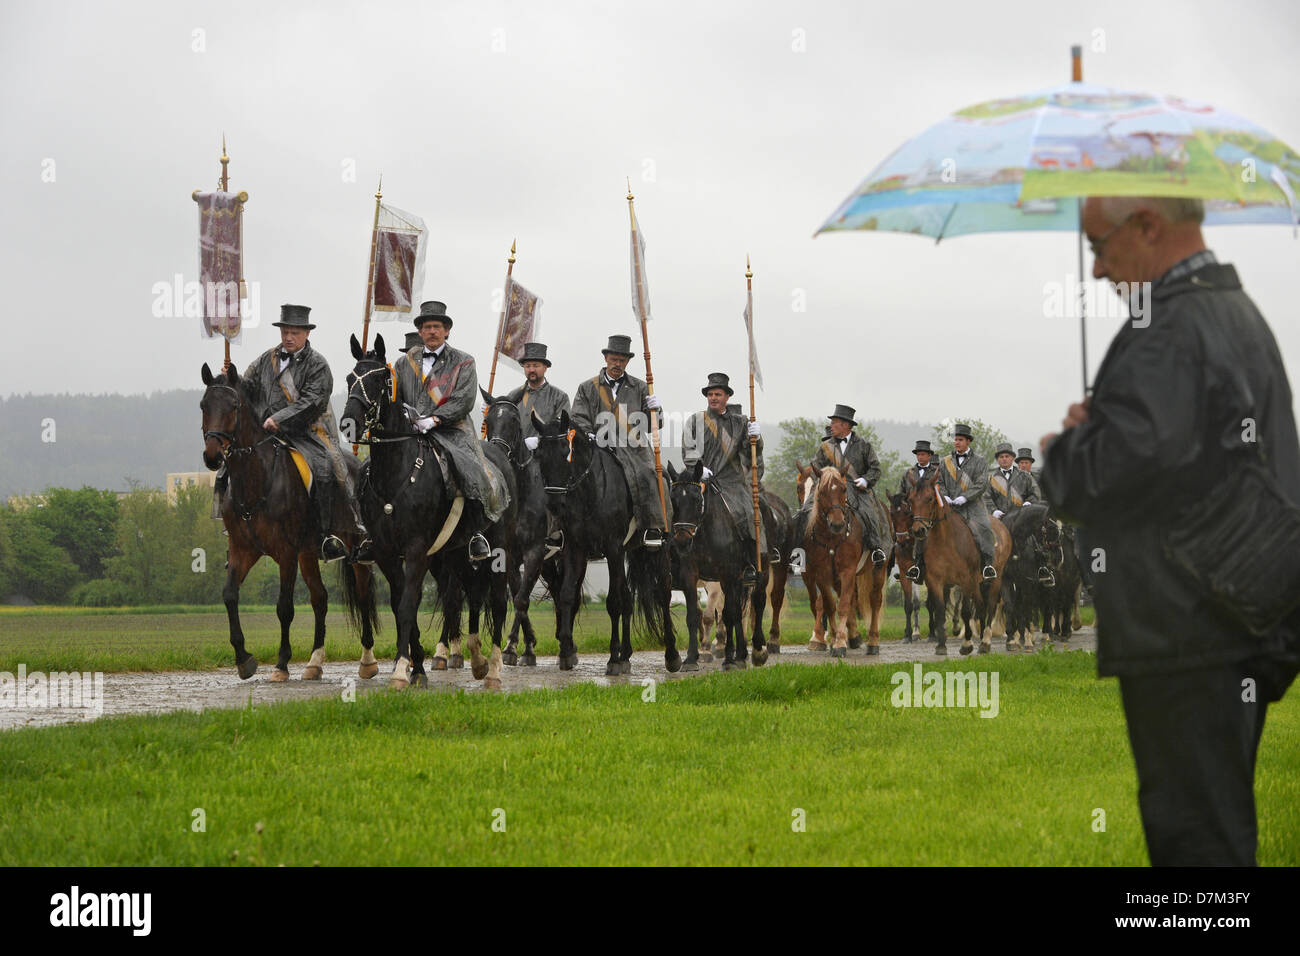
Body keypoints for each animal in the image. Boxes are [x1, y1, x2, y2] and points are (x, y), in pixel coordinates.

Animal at [198, 361, 377, 686]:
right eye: (204, 405)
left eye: (233, 406)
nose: (212, 455)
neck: (257, 480)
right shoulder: (244, 551)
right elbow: (230, 595)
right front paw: (243, 658)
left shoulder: (286, 554)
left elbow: (284, 608)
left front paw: (281, 664)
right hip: (309, 555)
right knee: (320, 599)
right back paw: (315, 663)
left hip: (358, 552)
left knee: (362, 595)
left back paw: (368, 661)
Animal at [340, 335, 517, 686]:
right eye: (351, 378)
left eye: (379, 380)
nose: (348, 424)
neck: (397, 472)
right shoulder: (386, 552)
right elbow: (400, 604)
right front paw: (417, 666)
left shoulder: (416, 549)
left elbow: (409, 603)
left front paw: (400, 670)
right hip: (454, 555)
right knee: (467, 596)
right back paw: (476, 660)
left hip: (498, 549)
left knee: (497, 601)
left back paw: (492, 669)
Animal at [478, 390, 559, 665]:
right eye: (488, 420)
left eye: (513, 420)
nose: (497, 450)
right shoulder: (512, 556)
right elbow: (517, 595)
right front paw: (523, 646)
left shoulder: (534, 552)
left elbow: (522, 598)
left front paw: (517, 647)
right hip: (548, 563)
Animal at [533, 408, 686, 676]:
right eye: (540, 454)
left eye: (565, 452)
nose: (554, 505)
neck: (590, 491)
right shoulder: (575, 550)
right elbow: (567, 595)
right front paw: (566, 652)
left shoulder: (613, 549)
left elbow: (614, 602)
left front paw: (613, 658)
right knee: (628, 599)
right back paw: (626, 654)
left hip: (658, 551)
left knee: (662, 595)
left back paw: (671, 655)